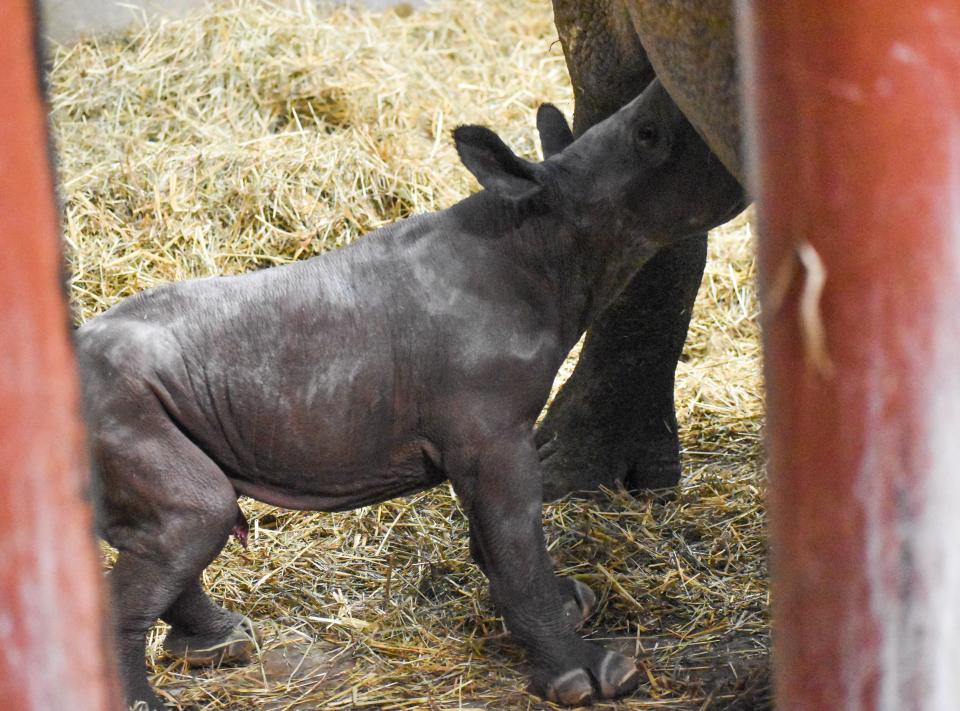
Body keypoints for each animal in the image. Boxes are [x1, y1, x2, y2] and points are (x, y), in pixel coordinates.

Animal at [80, 79, 744, 711]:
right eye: (650, 135)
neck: (544, 236)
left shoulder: (487, 433)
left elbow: (500, 539)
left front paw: (566, 605)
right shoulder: (491, 431)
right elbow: (517, 541)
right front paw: (591, 678)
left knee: (169, 529)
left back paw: (225, 643)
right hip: (119, 407)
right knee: (196, 516)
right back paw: (150, 699)